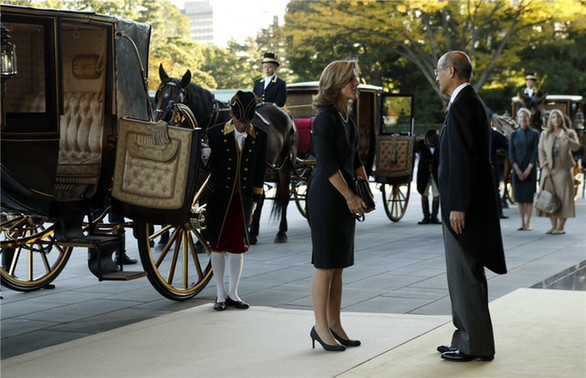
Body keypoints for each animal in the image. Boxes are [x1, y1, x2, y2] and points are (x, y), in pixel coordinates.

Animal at [154, 63, 296, 244]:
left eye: (177, 98)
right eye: (158, 94)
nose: (157, 121)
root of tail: (285, 114)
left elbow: (205, 200)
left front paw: (203, 239)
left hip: (283, 164)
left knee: (283, 195)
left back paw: (280, 231)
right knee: (260, 196)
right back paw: (252, 232)